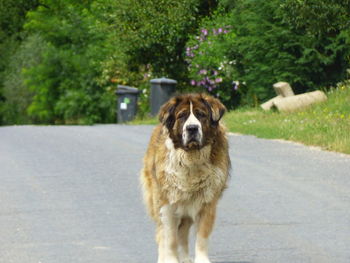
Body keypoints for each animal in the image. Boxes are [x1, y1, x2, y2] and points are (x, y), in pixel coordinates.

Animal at [141, 93, 231, 263]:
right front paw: (170, 259)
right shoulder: (167, 204)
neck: (192, 157)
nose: (192, 128)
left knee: (183, 233)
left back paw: (184, 258)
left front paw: (201, 259)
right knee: (162, 233)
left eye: (201, 114)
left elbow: (202, 236)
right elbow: (170, 238)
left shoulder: (207, 203)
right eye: (181, 116)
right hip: (157, 199)